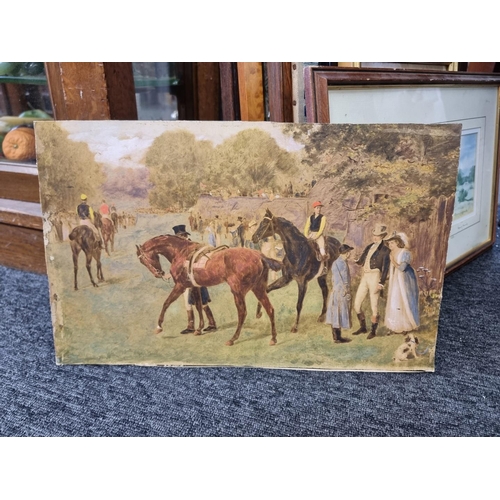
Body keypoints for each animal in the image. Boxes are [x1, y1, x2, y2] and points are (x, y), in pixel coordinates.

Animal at [136, 235, 282, 346]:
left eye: (143, 260)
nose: (158, 274)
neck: (181, 252)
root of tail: (260, 256)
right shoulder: (194, 286)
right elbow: (199, 306)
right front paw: (199, 329)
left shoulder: (180, 285)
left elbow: (166, 303)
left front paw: (159, 327)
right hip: (258, 288)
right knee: (270, 309)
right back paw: (273, 338)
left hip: (238, 291)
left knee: (242, 312)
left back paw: (232, 339)